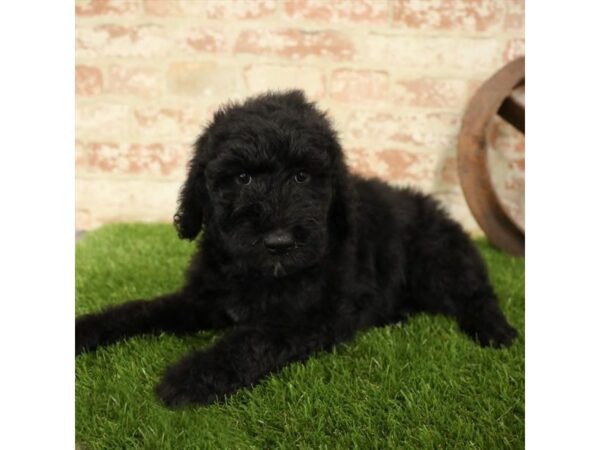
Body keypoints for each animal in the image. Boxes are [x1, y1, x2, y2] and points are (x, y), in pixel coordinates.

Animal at [75, 90, 516, 408]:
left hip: (437, 259)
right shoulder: (203, 299)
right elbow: (141, 310)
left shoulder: (314, 315)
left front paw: (192, 376)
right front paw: (86, 329)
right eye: (243, 178)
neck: (256, 277)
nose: (279, 244)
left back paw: (496, 332)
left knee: (475, 292)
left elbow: (252, 339)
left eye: (303, 176)